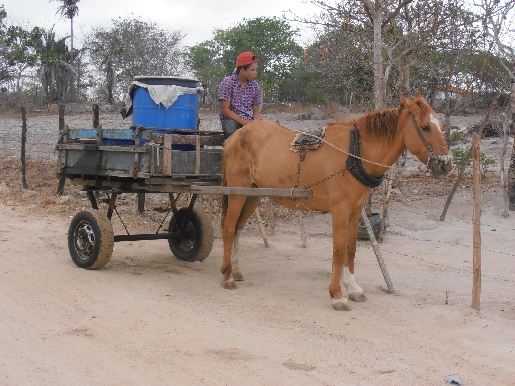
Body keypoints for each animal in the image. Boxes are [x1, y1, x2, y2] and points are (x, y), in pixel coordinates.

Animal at [221, 91, 452, 310]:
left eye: (441, 126)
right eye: (425, 127)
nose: (446, 166)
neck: (354, 153)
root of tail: (234, 137)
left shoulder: (356, 209)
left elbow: (351, 247)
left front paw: (353, 287)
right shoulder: (340, 210)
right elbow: (338, 250)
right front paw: (337, 295)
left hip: (252, 195)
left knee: (238, 230)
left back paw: (236, 270)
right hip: (237, 193)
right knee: (229, 229)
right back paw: (227, 275)